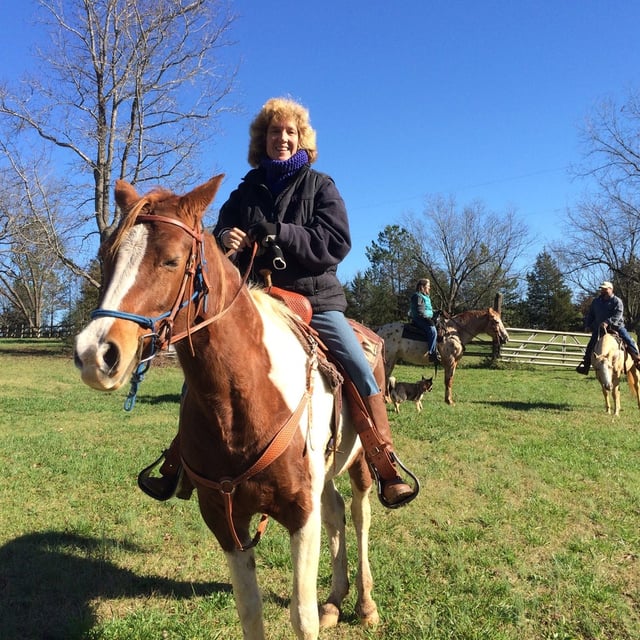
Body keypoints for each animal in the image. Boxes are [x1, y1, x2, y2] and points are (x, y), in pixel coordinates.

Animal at [378, 310, 508, 404]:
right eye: (496, 321)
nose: (505, 338)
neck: (454, 332)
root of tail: (380, 330)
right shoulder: (450, 361)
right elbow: (448, 381)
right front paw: (449, 401)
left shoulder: (453, 362)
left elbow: (449, 380)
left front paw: (448, 399)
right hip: (388, 359)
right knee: (385, 376)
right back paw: (386, 399)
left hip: (392, 359)